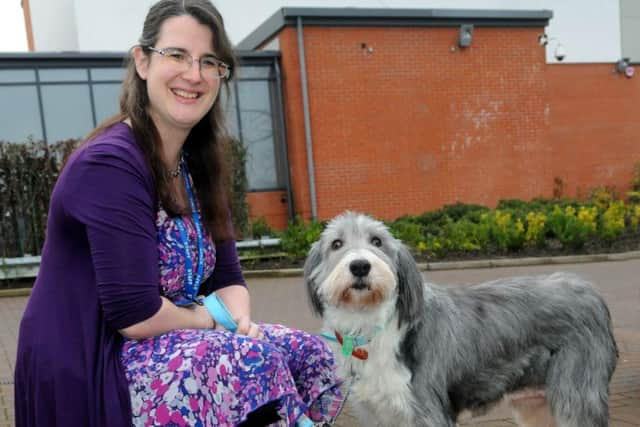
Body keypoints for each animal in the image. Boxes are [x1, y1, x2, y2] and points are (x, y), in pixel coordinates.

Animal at [304, 212, 620, 426]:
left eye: (377, 241)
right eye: (336, 244)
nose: (360, 266)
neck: (371, 328)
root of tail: (589, 291)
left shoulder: (427, 410)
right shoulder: (376, 415)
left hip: (576, 394)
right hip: (538, 404)